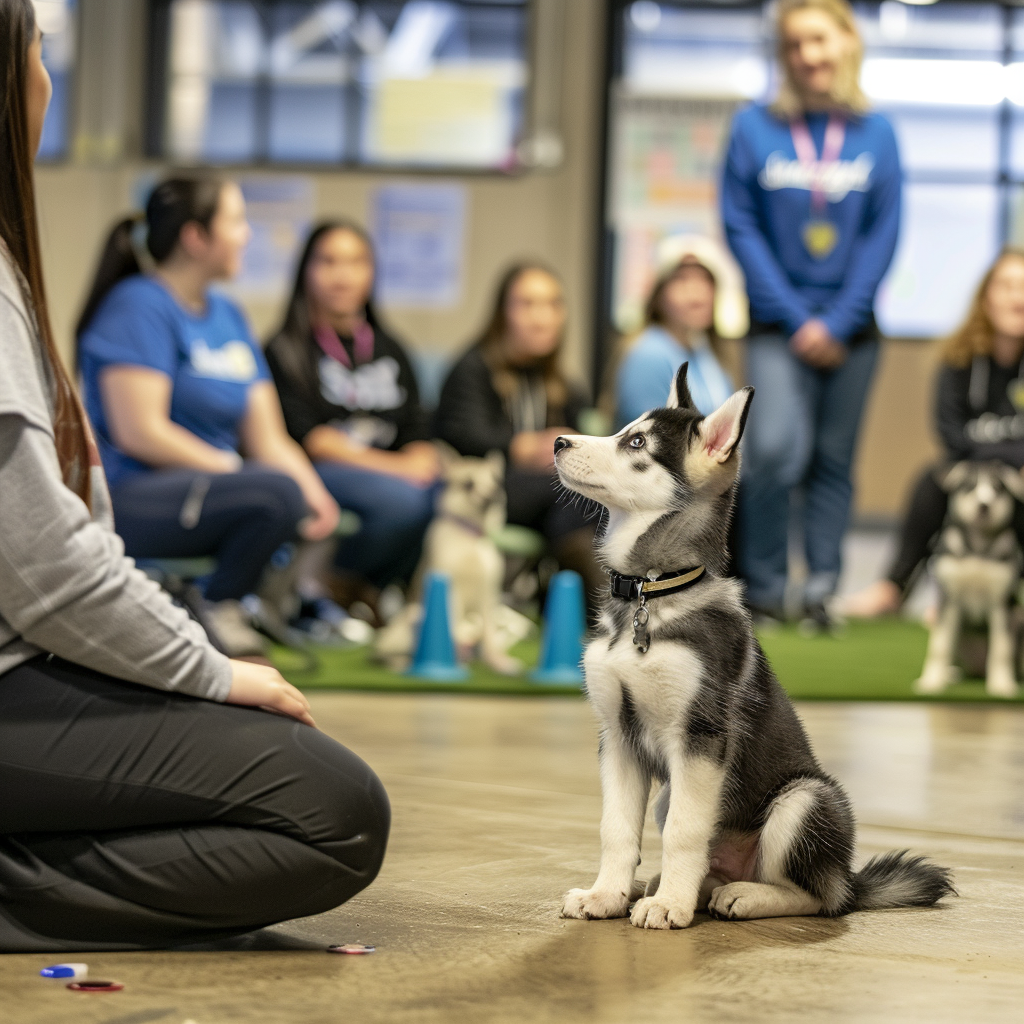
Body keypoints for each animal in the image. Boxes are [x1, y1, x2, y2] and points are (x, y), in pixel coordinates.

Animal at [552, 366, 950, 929]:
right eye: (625, 430)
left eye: (637, 443)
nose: (558, 441)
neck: (651, 594)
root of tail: (847, 877)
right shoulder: (619, 737)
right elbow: (616, 828)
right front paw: (606, 895)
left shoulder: (700, 738)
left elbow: (685, 831)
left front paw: (669, 907)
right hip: (673, 793)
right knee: (714, 862)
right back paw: (689, 888)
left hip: (802, 800)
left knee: (818, 898)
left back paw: (739, 896)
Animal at [913, 462, 1024, 696]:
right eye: (969, 487)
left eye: (997, 488)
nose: (984, 505)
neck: (978, 548)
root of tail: (978, 669)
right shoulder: (948, 600)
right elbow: (939, 646)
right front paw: (932, 681)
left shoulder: (1001, 604)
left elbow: (1001, 649)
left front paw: (1001, 684)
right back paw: (950, 673)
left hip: (1018, 617)